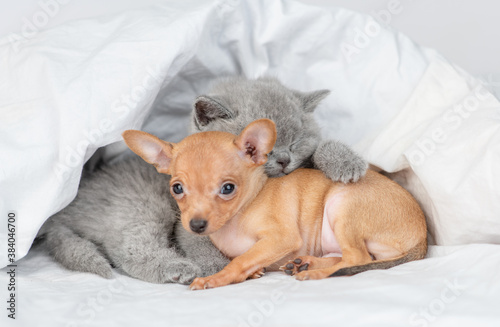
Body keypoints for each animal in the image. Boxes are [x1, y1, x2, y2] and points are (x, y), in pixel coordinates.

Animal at [36, 76, 368, 284]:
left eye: (296, 141)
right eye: (254, 146)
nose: (284, 159)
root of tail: (63, 213)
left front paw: (345, 161)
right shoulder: (187, 225)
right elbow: (200, 246)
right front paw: (221, 271)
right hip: (141, 206)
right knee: (130, 249)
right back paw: (177, 268)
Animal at [123, 119, 428, 290]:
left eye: (228, 189)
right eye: (177, 188)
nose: (196, 225)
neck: (240, 215)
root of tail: (424, 237)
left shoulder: (281, 238)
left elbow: (241, 259)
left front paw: (217, 278)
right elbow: (247, 259)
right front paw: (253, 271)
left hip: (341, 205)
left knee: (358, 258)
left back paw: (317, 274)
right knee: (353, 257)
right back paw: (307, 263)